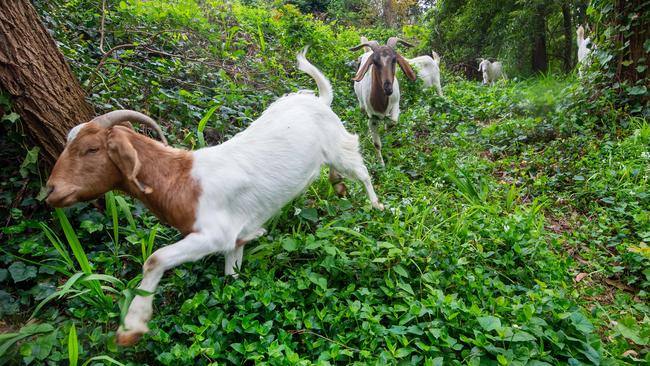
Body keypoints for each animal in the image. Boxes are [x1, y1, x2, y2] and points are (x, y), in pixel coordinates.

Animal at [45, 48, 382, 346]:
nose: (51, 190)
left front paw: (132, 326)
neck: (181, 179)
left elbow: (155, 258)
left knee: (362, 171)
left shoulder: (213, 234)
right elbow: (231, 272)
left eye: (91, 149)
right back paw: (338, 187)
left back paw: (377, 205)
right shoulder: (235, 237)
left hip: (339, 148)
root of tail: (319, 100)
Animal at [350, 36, 416, 166]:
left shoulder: (396, 105)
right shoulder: (372, 118)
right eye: (374, 62)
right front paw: (382, 165)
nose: (388, 88)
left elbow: (393, 122)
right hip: (361, 105)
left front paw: (386, 130)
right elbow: (377, 144)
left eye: (394, 60)